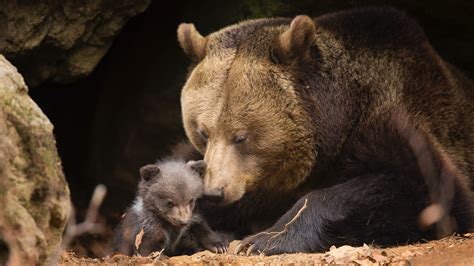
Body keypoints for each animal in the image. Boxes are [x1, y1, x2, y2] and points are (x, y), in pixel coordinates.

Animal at [176, 6, 472, 256]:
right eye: (203, 132)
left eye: (241, 136)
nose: (214, 192)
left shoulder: (397, 120)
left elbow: (425, 188)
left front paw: (262, 239)